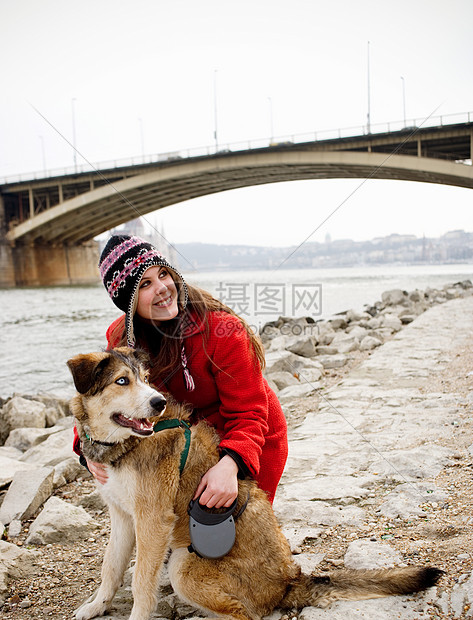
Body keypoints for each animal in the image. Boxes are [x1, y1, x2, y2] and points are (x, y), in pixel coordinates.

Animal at [67, 348, 442, 620]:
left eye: (145, 379)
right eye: (122, 381)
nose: (158, 402)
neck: (124, 444)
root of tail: (289, 581)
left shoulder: (152, 521)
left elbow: (141, 583)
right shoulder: (122, 516)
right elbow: (110, 568)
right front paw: (95, 606)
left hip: (183, 566)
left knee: (242, 615)